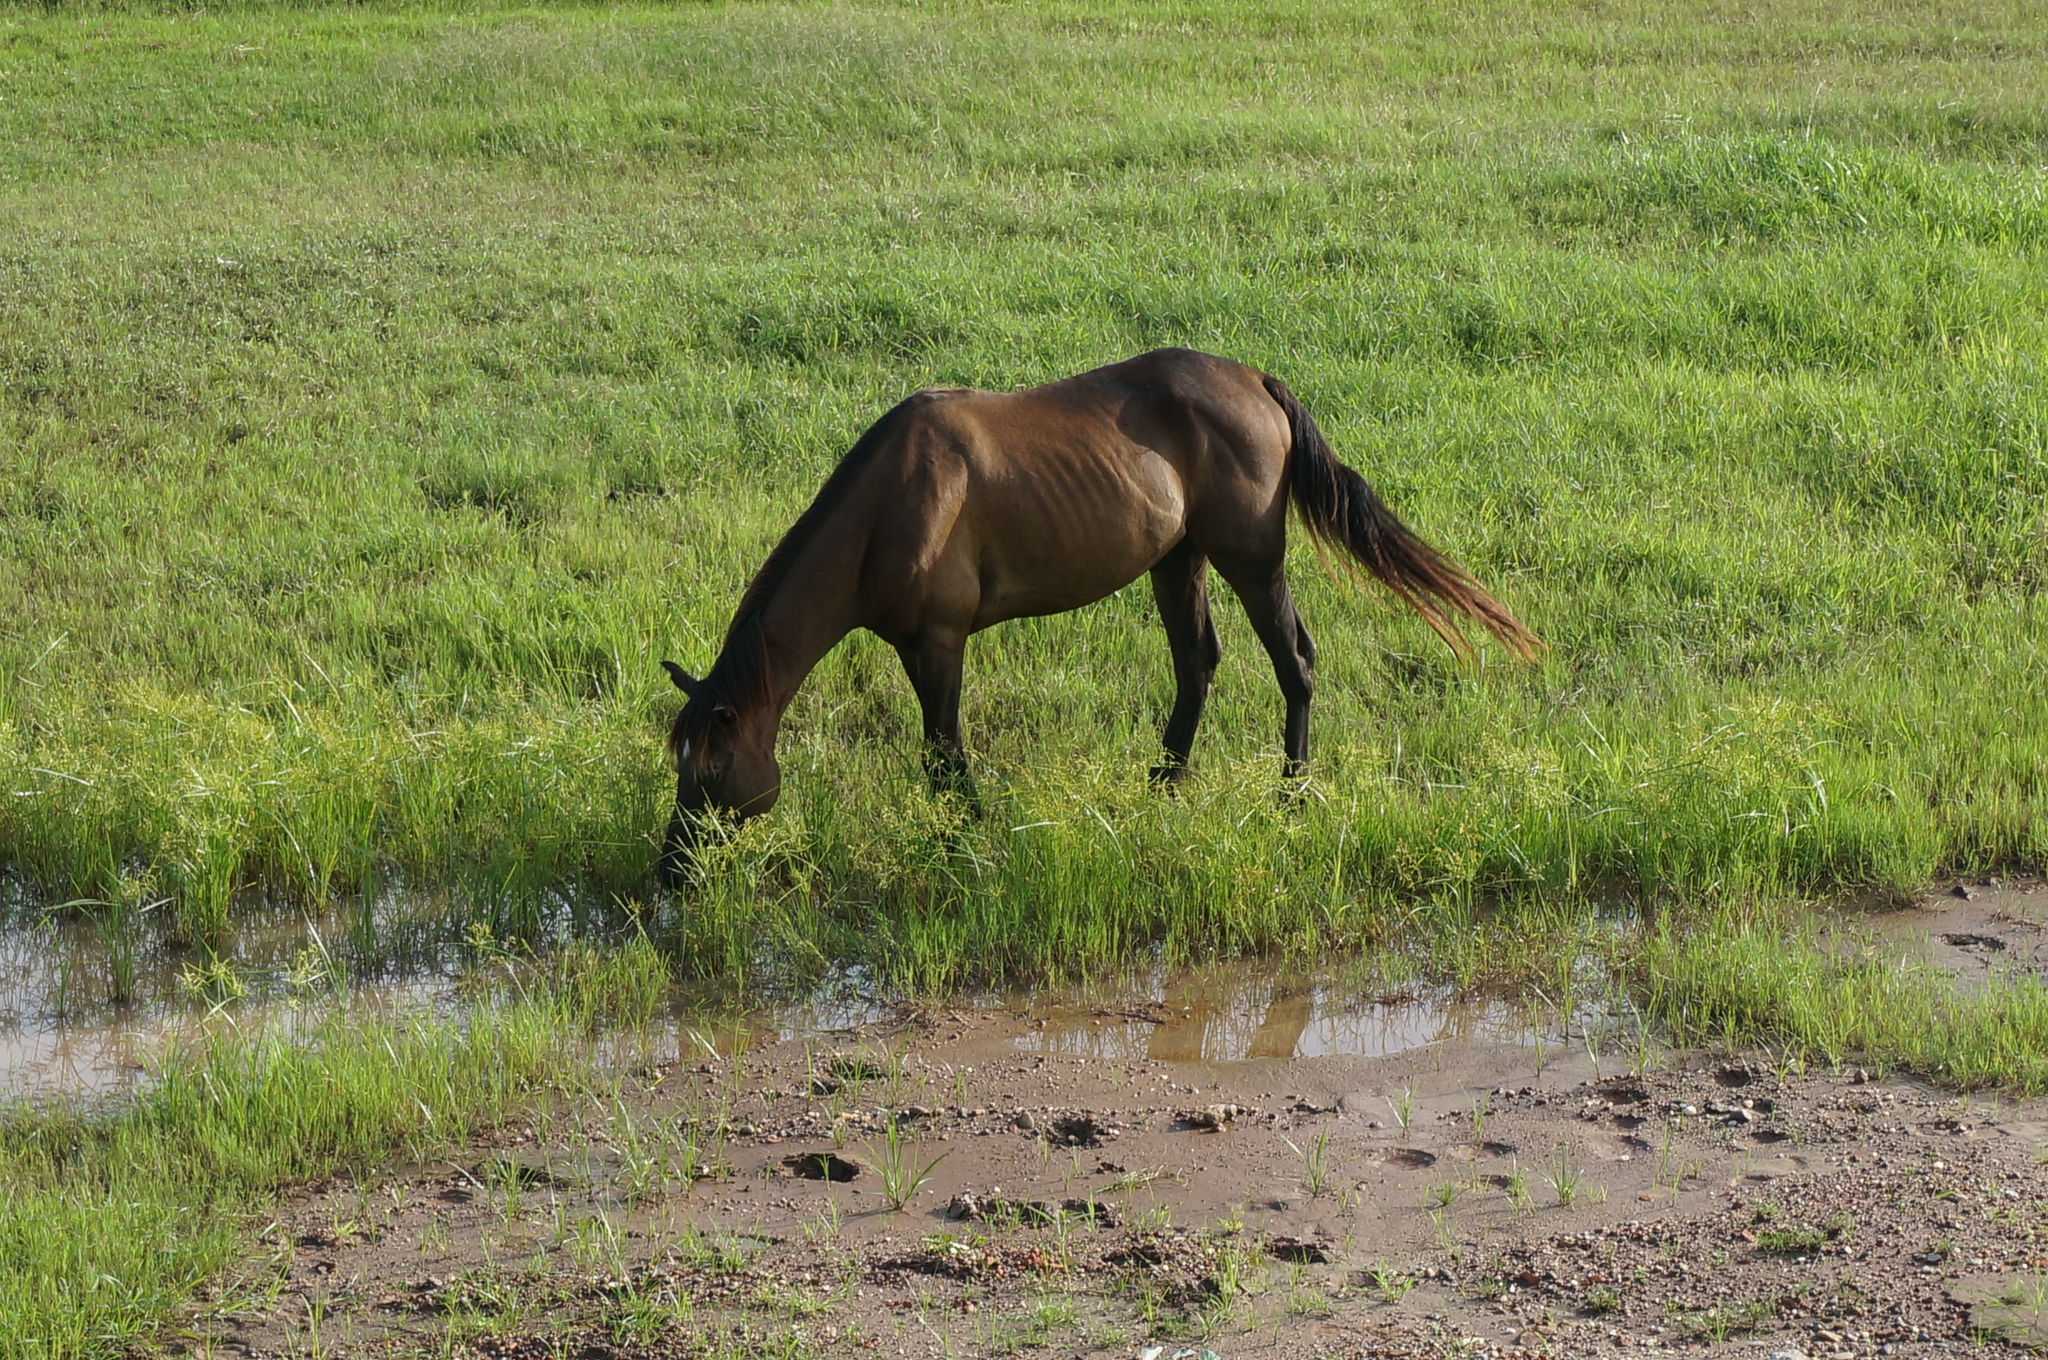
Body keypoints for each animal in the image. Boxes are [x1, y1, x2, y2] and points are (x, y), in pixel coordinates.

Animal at [655, 348, 1540, 880]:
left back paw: (1290, 796)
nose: (671, 872)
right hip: (1178, 561)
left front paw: (964, 842)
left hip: (1251, 560)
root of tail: (1255, 380)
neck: (893, 502)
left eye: (711, 771)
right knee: (1198, 667)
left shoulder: (937, 643)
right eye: (679, 764)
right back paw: (1162, 786)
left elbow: (944, 755)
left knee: (1294, 661)